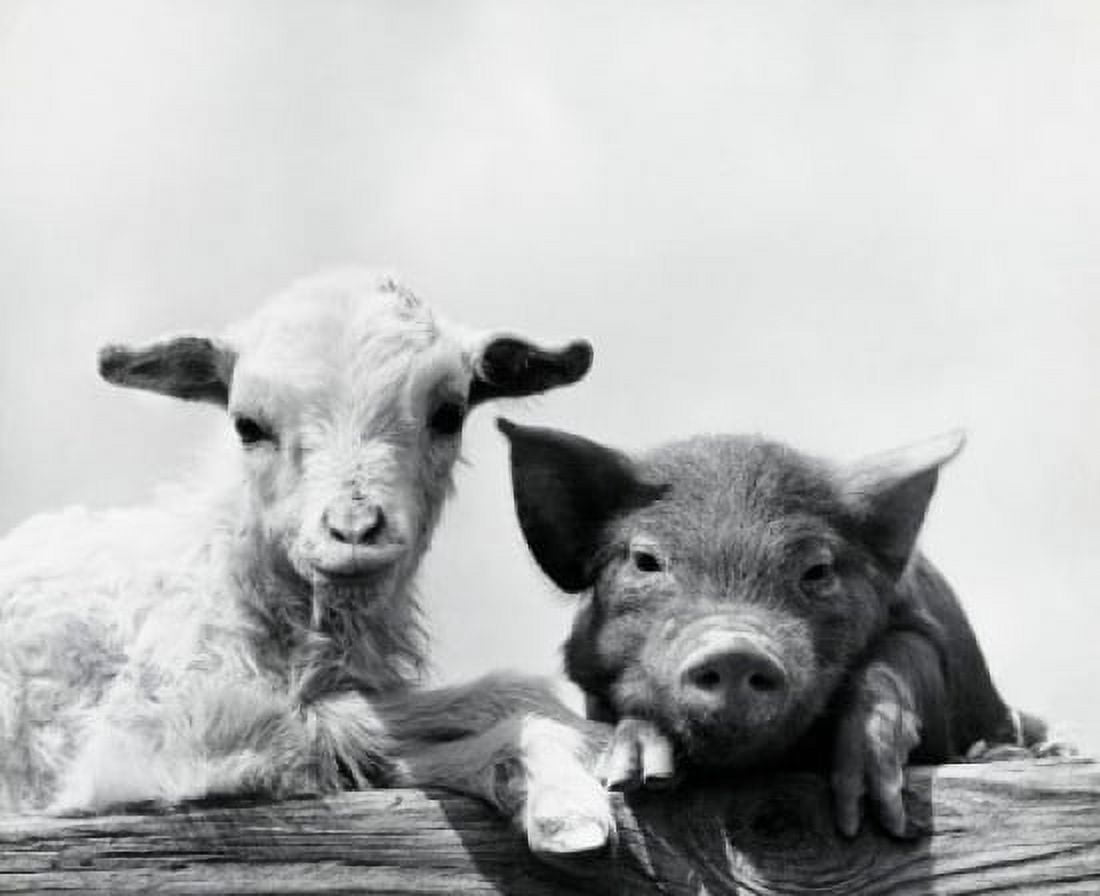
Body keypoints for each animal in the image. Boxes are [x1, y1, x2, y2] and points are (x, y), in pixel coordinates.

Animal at [0, 269, 613, 854]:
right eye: (247, 426)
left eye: (448, 414)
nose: (354, 530)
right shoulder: (161, 737)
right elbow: (365, 730)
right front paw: (568, 788)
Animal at [496, 420, 1053, 837]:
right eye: (645, 560)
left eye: (818, 570)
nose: (735, 650)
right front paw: (635, 771)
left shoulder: (922, 632)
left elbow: (896, 665)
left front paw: (866, 804)